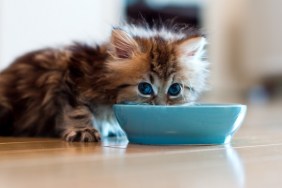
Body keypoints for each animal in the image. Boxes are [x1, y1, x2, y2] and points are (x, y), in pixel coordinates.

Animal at [0, 22, 207, 142]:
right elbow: (78, 110)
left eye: (175, 89)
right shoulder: (70, 77)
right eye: (145, 88)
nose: (161, 107)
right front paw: (83, 130)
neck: (100, 72)